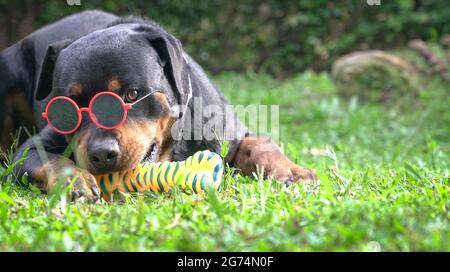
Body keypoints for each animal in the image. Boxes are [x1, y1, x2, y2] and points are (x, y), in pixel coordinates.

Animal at [0, 10, 316, 201]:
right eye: (69, 107)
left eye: (131, 94)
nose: (101, 153)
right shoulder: (29, 150)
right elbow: (44, 157)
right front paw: (73, 180)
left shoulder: (231, 131)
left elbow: (261, 144)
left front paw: (292, 171)